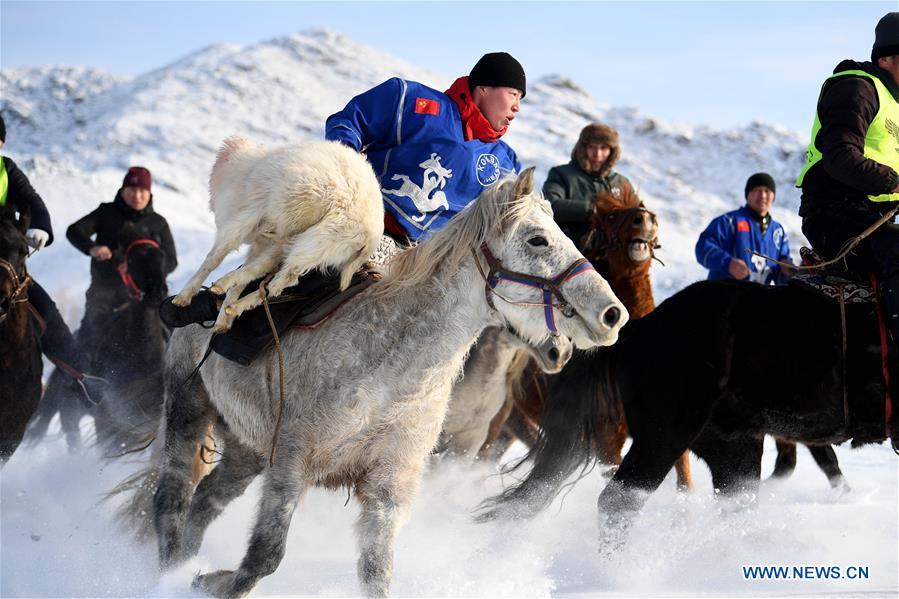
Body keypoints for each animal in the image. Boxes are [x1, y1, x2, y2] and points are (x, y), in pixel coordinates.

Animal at [149, 168, 624, 596]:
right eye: (537, 239)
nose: (612, 314)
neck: (390, 376)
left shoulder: (389, 487)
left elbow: (377, 573)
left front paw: (207, 578)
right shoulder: (291, 464)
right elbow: (265, 555)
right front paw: (213, 581)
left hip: (247, 448)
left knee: (206, 500)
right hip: (188, 405)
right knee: (172, 495)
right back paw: (169, 570)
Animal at [172, 137, 384, 332]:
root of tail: (370, 234)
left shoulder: (248, 216)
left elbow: (215, 257)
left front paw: (184, 296)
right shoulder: (266, 240)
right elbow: (252, 269)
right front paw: (224, 317)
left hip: (311, 235)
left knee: (279, 279)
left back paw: (225, 289)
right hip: (319, 246)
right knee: (282, 280)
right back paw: (236, 305)